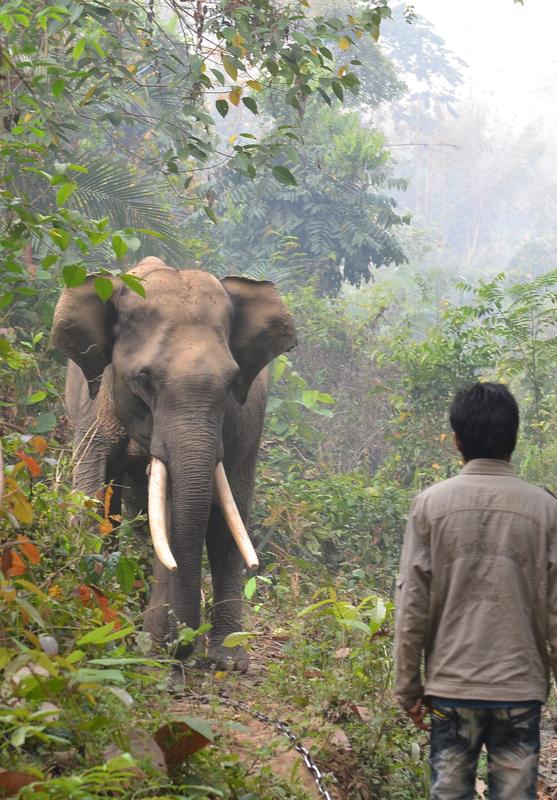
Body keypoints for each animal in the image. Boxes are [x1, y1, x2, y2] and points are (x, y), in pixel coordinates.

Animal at [51, 260, 296, 672]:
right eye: (143, 379)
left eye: (232, 381)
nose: (178, 646)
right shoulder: (94, 405)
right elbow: (93, 495)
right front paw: (103, 624)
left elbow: (193, 518)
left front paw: (155, 645)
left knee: (226, 521)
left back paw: (227, 660)